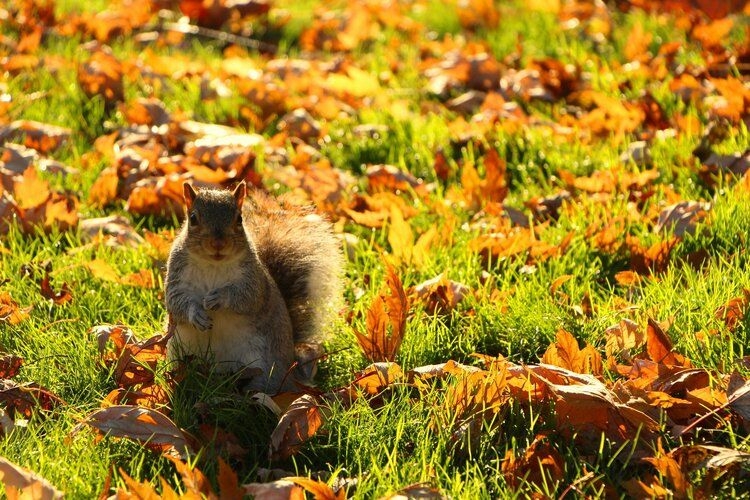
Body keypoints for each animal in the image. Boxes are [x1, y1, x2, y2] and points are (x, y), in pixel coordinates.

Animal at [164, 181, 343, 393]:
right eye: (193, 218)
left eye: (239, 219)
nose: (218, 244)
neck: (213, 264)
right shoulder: (177, 275)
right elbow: (176, 302)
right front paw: (197, 314)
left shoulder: (254, 279)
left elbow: (248, 297)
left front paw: (219, 297)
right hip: (179, 351)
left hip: (265, 363)